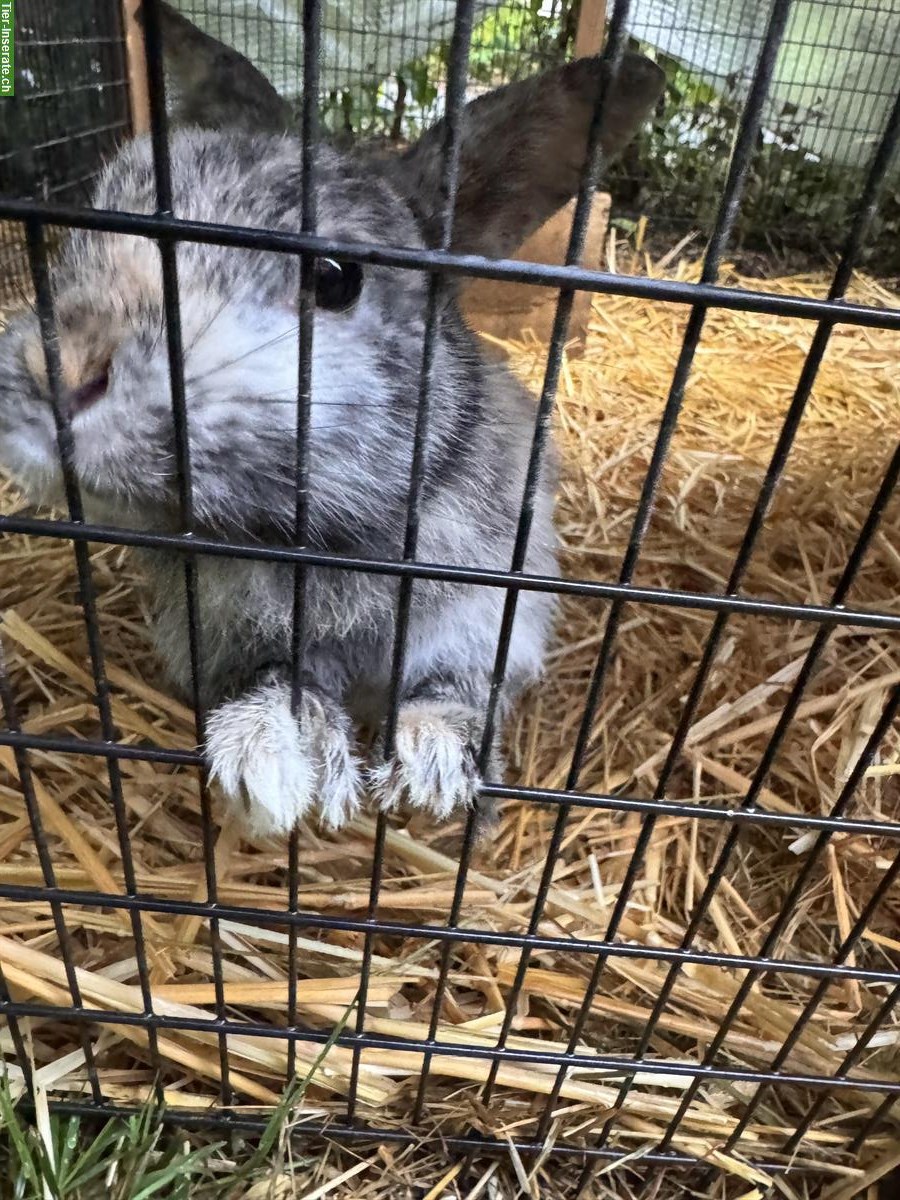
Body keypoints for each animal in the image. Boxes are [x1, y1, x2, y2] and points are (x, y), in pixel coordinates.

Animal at [0, 14, 662, 835]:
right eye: (96, 216)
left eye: (335, 279)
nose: (53, 367)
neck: (320, 538)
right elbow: (283, 677)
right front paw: (277, 758)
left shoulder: (491, 617)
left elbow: (453, 689)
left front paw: (436, 771)